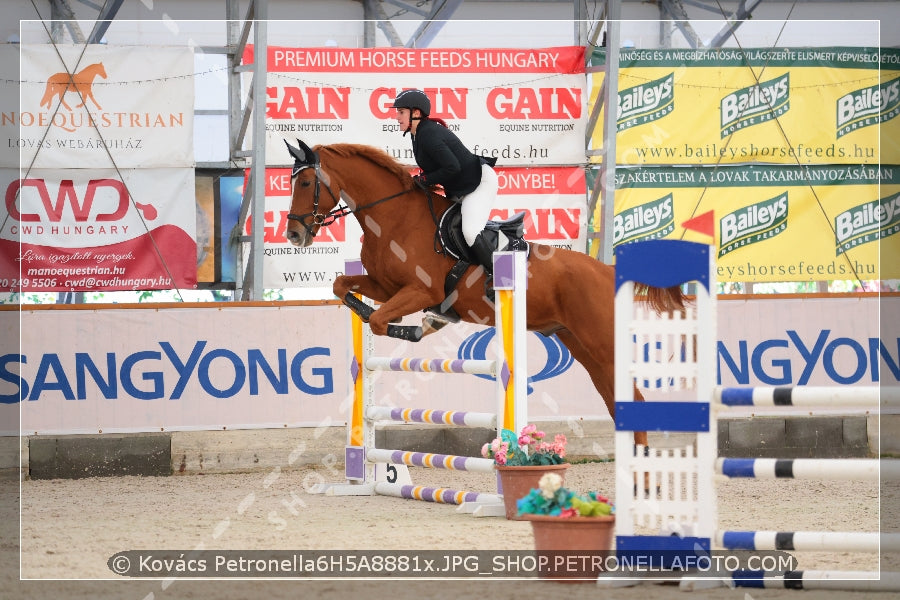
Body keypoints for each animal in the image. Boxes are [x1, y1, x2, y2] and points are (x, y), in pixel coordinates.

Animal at [284, 139, 684, 450]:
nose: (293, 235)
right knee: (615, 398)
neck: (393, 217)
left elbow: (382, 320)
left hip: (601, 341)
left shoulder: (421, 290)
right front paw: (395, 318)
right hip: (581, 345)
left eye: (305, 182)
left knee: (633, 396)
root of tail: (606, 270)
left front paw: (419, 326)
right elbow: (342, 287)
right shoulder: (386, 287)